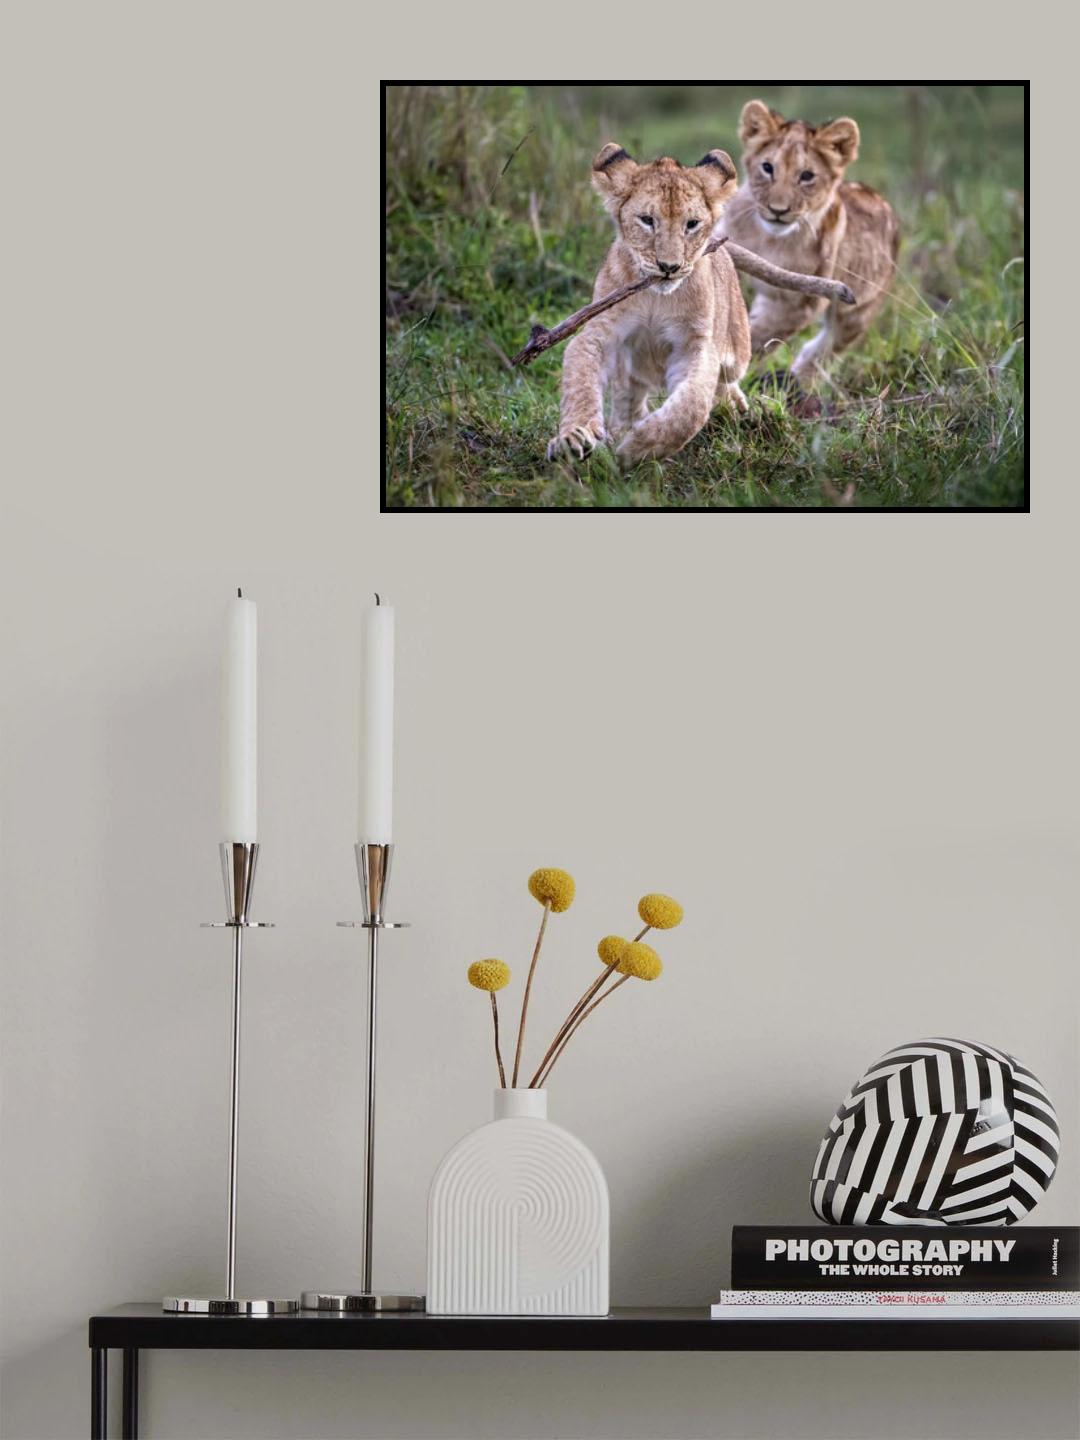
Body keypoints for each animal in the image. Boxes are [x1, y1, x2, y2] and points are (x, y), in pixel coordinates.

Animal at [547, 143, 751, 466]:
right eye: (647, 220)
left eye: (691, 224)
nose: (669, 266)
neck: (657, 298)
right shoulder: (598, 333)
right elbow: (580, 384)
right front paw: (573, 438)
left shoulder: (695, 345)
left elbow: (691, 406)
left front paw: (640, 447)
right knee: (628, 394)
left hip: (738, 349)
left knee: (727, 381)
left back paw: (735, 407)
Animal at [722, 101, 899, 378]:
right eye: (767, 168)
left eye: (806, 176)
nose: (778, 210)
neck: (768, 238)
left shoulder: (797, 302)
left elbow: (762, 334)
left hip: (857, 311)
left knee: (827, 348)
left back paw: (799, 380)